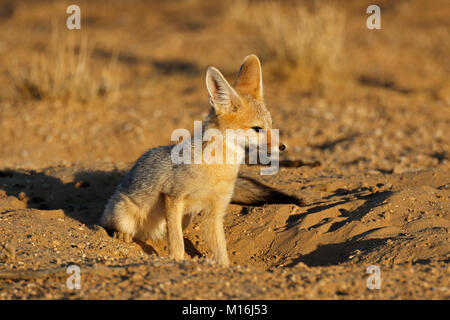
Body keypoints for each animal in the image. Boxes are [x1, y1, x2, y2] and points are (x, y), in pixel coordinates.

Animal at [102, 55, 302, 268]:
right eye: (257, 129)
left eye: (271, 126)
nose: (282, 147)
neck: (216, 170)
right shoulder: (173, 197)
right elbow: (177, 245)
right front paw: (176, 260)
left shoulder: (215, 212)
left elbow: (220, 250)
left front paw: (224, 267)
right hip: (124, 214)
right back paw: (122, 235)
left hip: (186, 219)